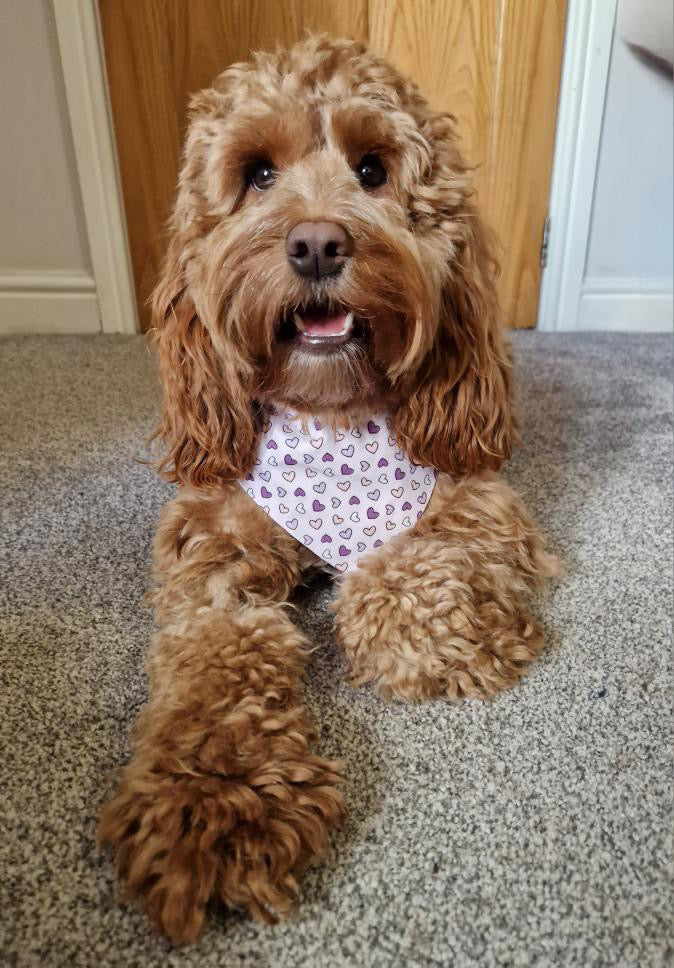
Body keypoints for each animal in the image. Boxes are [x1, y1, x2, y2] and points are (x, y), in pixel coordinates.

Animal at [97, 34, 552, 940]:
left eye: (373, 169)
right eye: (258, 174)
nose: (315, 243)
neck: (332, 418)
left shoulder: (478, 500)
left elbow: (398, 579)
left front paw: (426, 636)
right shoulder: (213, 544)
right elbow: (217, 647)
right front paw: (211, 797)